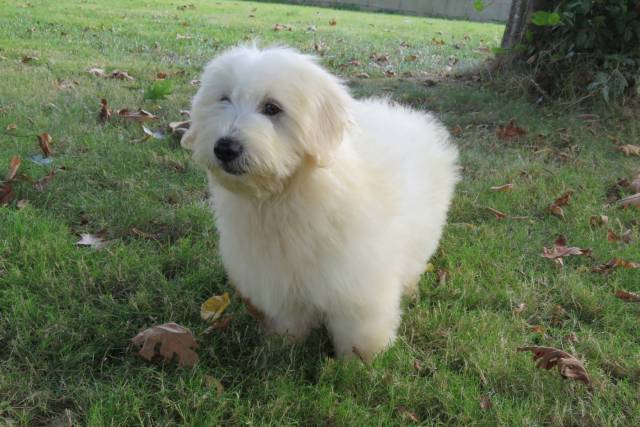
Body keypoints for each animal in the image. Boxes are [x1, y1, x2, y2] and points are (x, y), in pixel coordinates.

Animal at [182, 45, 458, 362]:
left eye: (272, 108)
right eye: (224, 99)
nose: (225, 148)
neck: (286, 196)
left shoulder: (357, 280)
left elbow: (359, 326)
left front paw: (363, 361)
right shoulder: (279, 278)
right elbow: (288, 318)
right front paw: (283, 345)